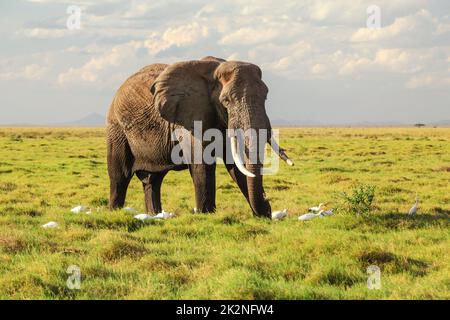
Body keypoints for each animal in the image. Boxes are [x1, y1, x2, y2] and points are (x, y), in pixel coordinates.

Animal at [107, 56, 294, 219]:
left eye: (266, 96)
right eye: (226, 100)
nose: (268, 206)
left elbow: (237, 164)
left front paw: (261, 215)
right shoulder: (190, 117)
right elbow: (202, 163)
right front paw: (206, 215)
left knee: (153, 180)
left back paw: (155, 215)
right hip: (116, 128)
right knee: (119, 177)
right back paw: (115, 212)